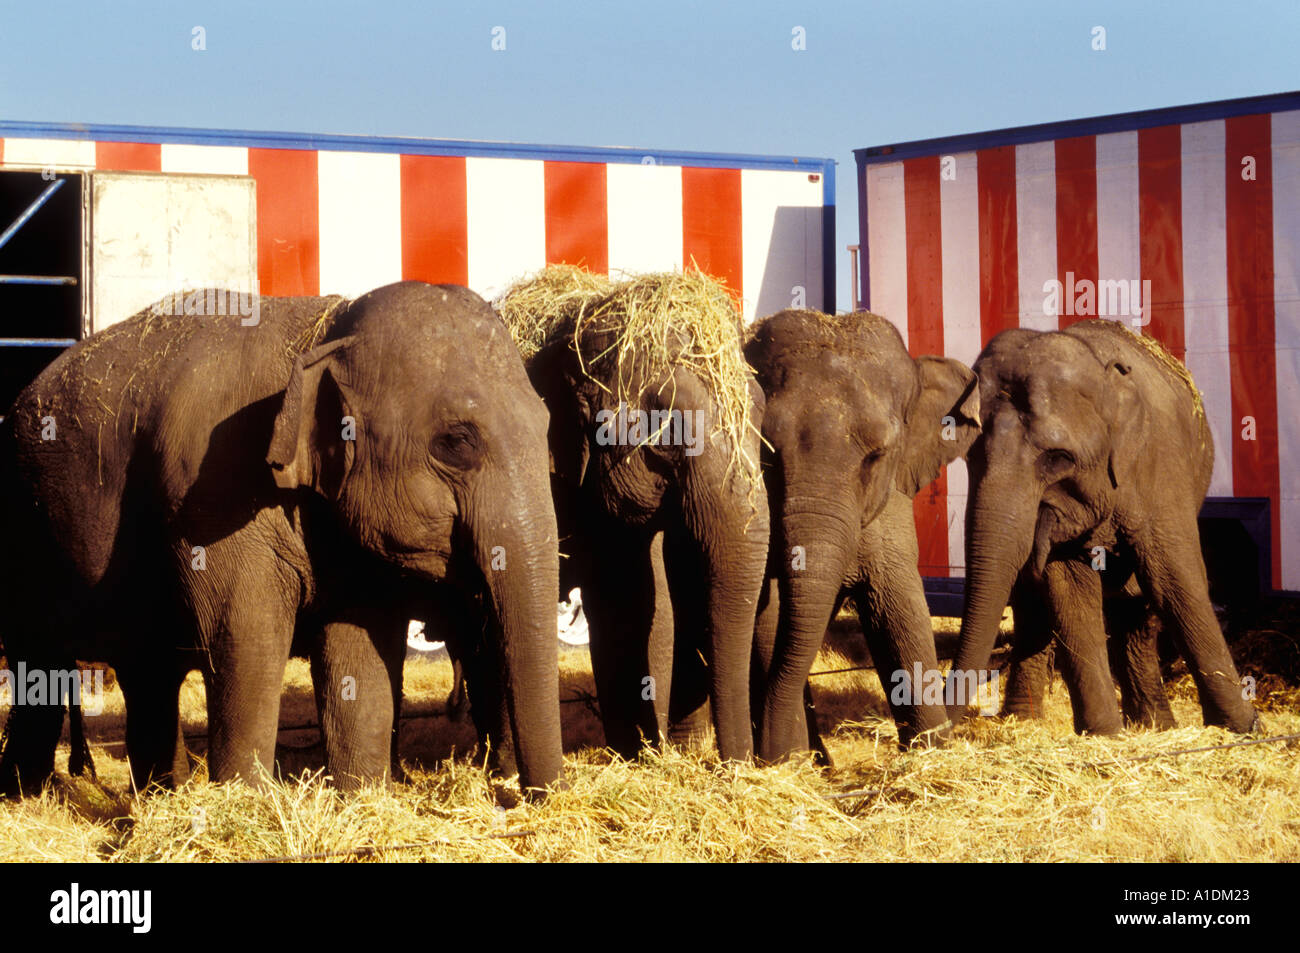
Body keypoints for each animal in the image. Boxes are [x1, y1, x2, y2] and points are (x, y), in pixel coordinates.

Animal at [2, 282, 566, 795]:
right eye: (457, 442)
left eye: (546, 426)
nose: (523, 796)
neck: (320, 334)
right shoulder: (214, 489)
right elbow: (245, 635)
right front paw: (245, 803)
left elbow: (359, 652)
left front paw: (364, 796)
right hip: (26, 533)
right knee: (41, 665)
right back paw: (30, 796)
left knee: (146, 669)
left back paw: (159, 795)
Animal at [748, 308, 977, 764]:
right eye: (767, 453)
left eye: (877, 456)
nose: (771, 754)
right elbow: (769, 614)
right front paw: (793, 762)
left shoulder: (891, 499)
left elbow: (899, 603)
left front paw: (931, 753)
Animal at [951, 319, 1253, 738]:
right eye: (969, 454)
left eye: (1057, 458)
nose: (929, 734)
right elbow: (1070, 589)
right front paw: (1105, 733)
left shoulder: (1158, 463)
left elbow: (1173, 578)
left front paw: (1243, 728)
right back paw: (1025, 721)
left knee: (1138, 608)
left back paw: (1155, 724)